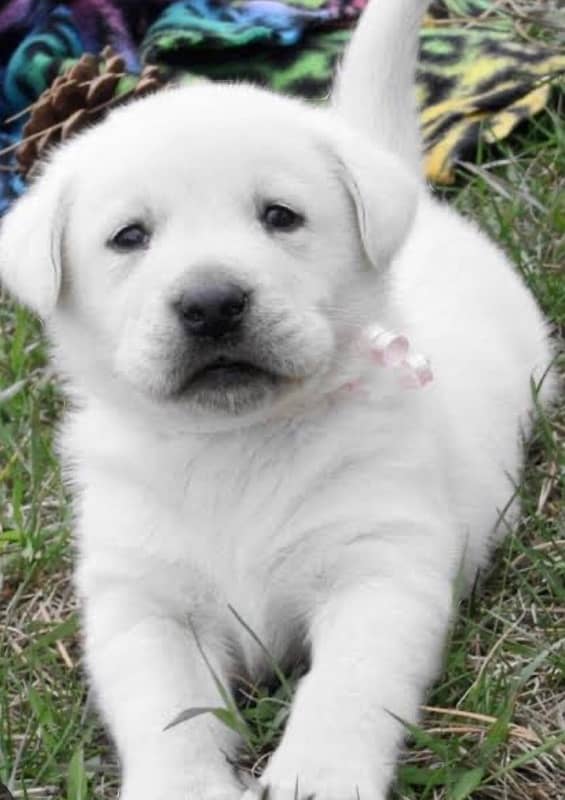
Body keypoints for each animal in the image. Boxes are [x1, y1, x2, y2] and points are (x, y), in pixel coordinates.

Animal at [0, 1, 556, 800]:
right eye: (129, 237)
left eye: (280, 216)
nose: (210, 303)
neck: (235, 446)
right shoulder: (141, 603)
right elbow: (167, 711)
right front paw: (182, 786)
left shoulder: (379, 569)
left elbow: (346, 691)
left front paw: (316, 777)